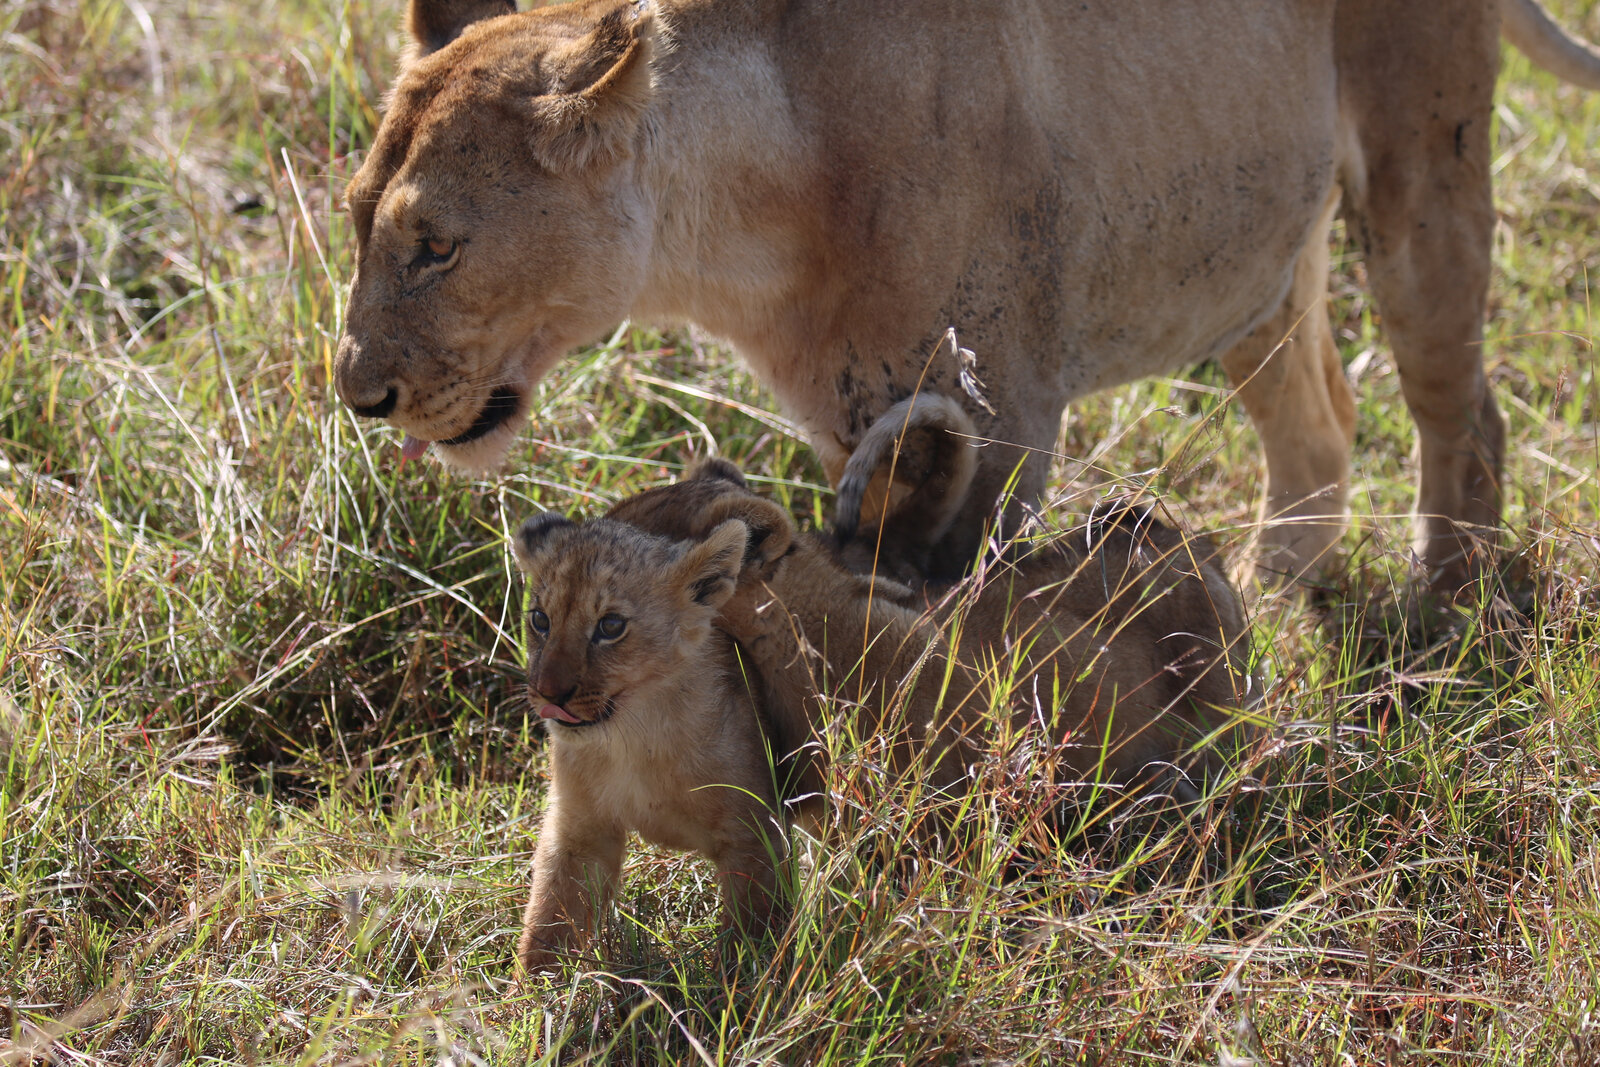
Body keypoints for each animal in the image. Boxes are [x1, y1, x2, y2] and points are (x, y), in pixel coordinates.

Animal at [335, 0, 1600, 589]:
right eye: (353, 218)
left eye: (436, 246)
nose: (358, 397)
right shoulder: (856, 410)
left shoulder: (1005, 422)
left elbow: (963, 615)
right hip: (1244, 256)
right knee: (1320, 428)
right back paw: (1275, 595)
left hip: (1418, 167)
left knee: (1459, 411)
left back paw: (1444, 604)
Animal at [511, 512, 787, 973]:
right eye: (540, 620)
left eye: (611, 626)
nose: (548, 694)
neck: (634, 739)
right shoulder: (580, 830)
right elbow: (548, 922)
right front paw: (525, 991)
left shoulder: (753, 837)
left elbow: (749, 936)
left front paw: (735, 987)